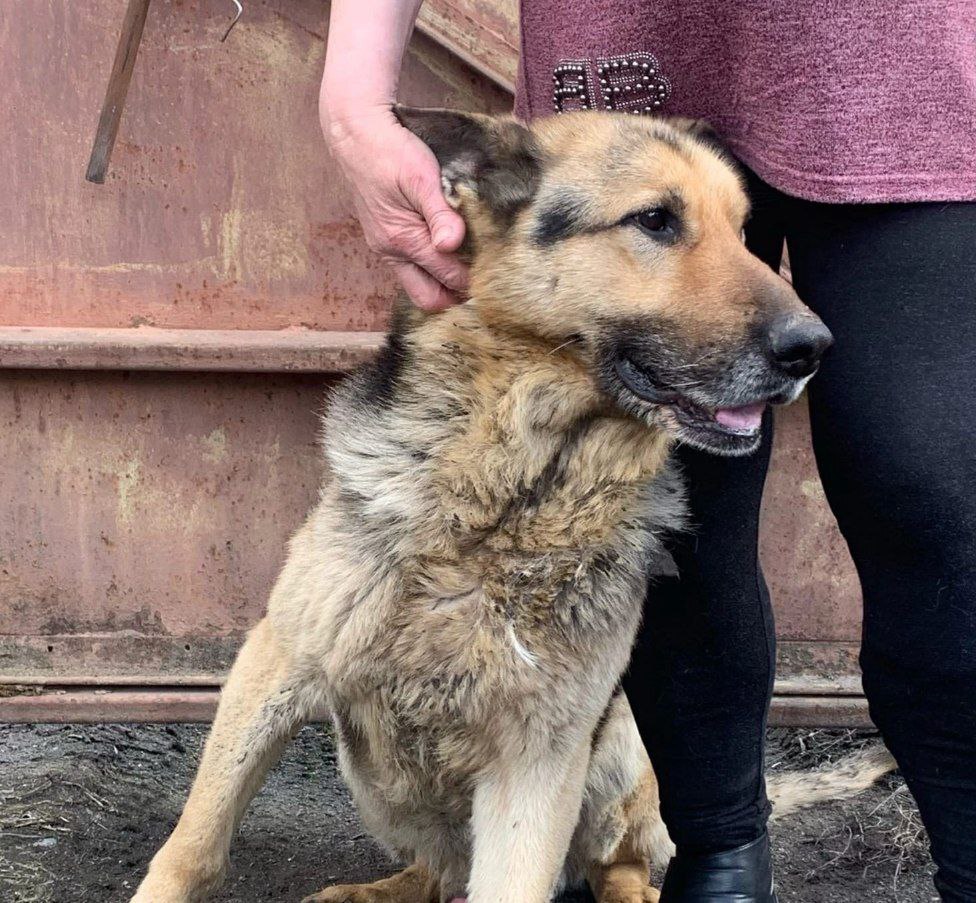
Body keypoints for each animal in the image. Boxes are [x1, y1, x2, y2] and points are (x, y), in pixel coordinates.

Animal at [132, 107, 892, 903]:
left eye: (745, 232)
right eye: (655, 220)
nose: (814, 348)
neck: (518, 495)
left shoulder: (538, 757)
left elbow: (513, 883)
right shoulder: (275, 659)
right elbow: (195, 841)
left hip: (616, 754)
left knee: (613, 864)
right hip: (370, 772)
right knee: (437, 871)